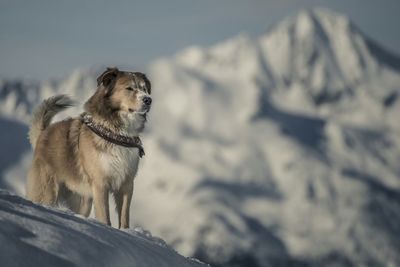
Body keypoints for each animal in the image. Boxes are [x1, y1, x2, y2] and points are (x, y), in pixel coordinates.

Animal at [25, 68, 152, 229]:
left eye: (144, 88)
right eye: (129, 88)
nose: (148, 100)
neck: (116, 134)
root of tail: (43, 133)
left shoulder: (126, 184)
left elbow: (124, 218)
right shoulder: (100, 184)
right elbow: (105, 217)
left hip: (82, 199)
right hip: (47, 192)